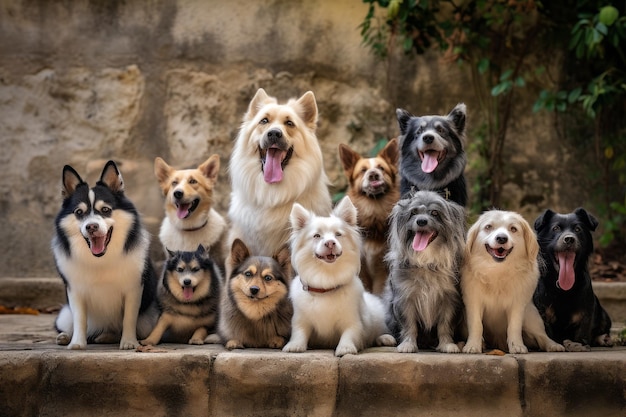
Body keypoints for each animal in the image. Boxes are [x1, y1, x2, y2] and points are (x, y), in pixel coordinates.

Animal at [52, 159, 157, 348]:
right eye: (79, 212)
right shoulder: (76, 291)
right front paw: (77, 343)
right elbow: (80, 319)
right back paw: (66, 336)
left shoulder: (133, 289)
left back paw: (108, 336)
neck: (101, 259)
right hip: (63, 316)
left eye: (106, 210)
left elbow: (129, 318)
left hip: (149, 321)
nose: (91, 227)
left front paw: (129, 342)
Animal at [382, 190, 466, 352]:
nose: (421, 221)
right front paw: (408, 344)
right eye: (413, 212)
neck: (426, 262)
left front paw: (447, 344)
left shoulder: (450, 300)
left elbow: (445, 325)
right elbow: (409, 325)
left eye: (434, 213)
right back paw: (387, 338)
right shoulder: (405, 298)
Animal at [458, 210, 564, 352]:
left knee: (542, 337)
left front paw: (517, 346)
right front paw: (473, 345)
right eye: (488, 227)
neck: (497, 271)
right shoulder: (473, 302)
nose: (502, 238)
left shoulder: (518, 305)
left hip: (531, 318)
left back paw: (553, 345)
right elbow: (477, 325)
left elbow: (514, 327)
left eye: (513, 229)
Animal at [528, 206, 612, 350]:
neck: (562, 289)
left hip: (603, 315)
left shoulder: (586, 315)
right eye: (556, 228)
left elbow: (582, 336)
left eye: (578, 229)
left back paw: (603, 339)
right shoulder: (542, 313)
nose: (569, 239)